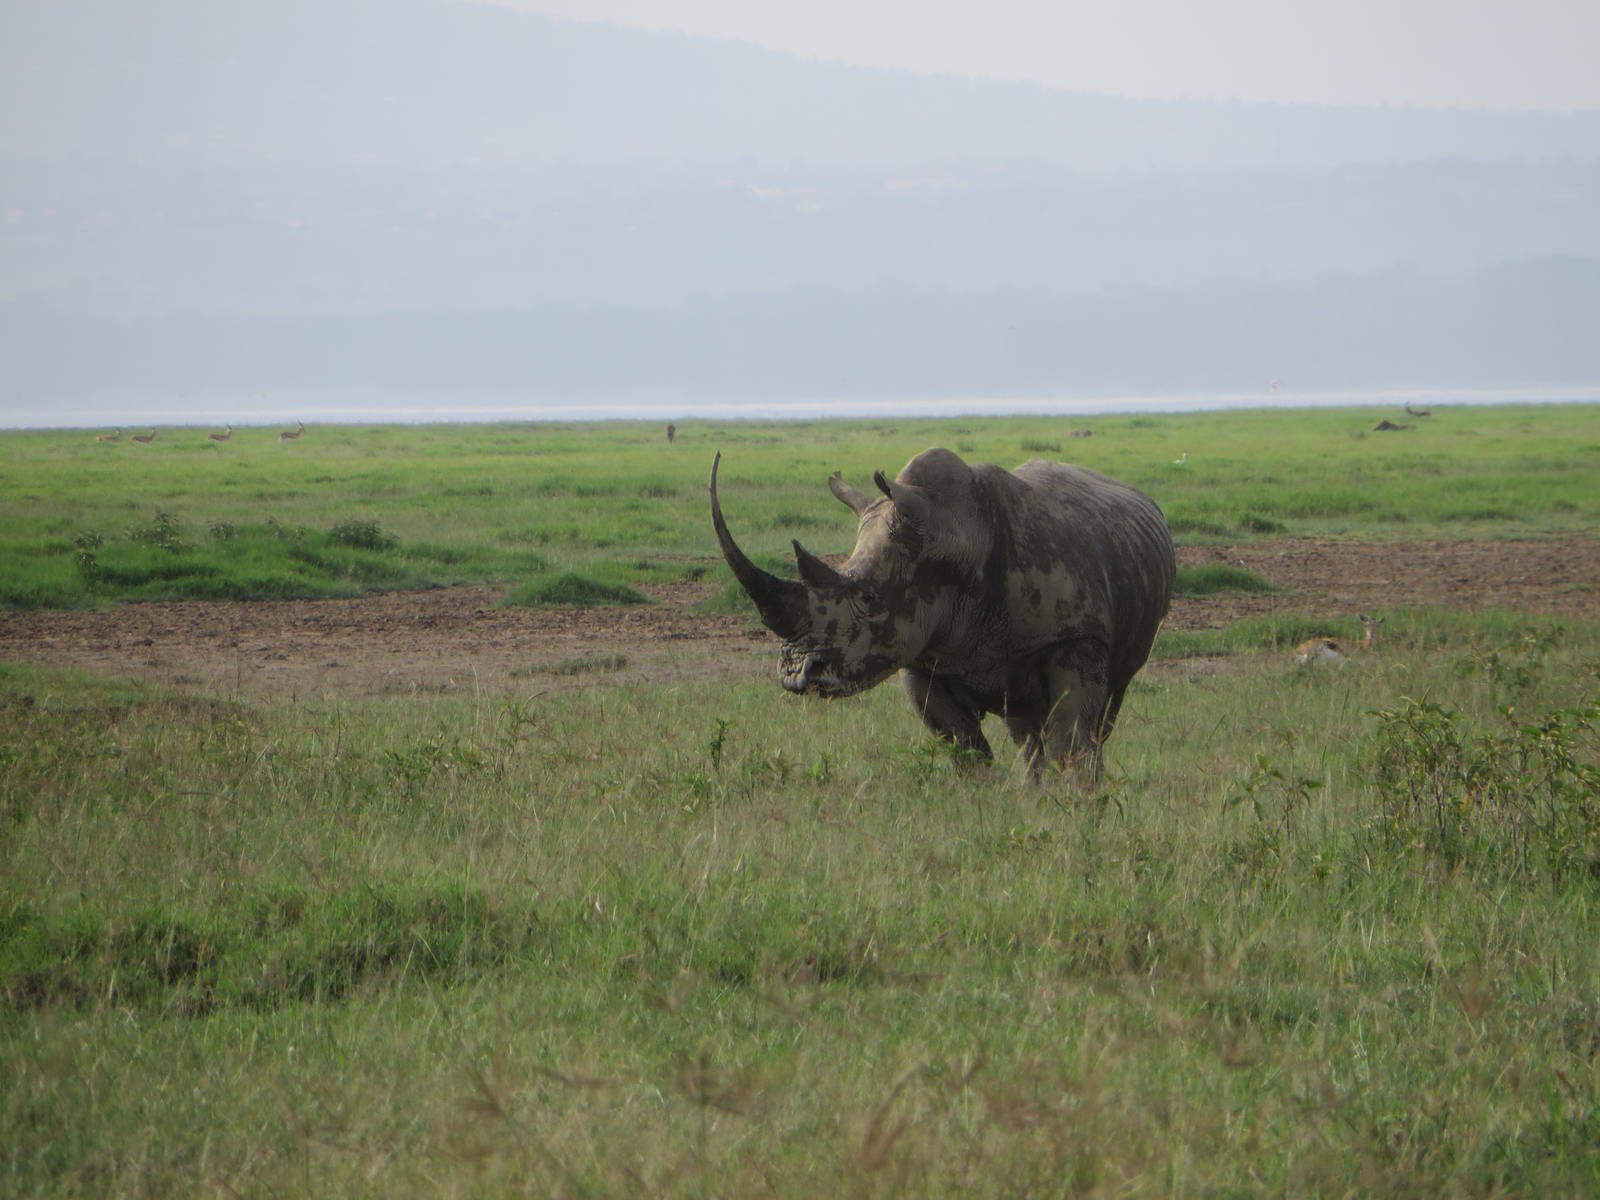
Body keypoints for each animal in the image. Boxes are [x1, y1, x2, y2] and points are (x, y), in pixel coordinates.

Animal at [709, 448, 1175, 779]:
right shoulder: (923, 658)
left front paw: (1075, 806)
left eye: (871, 599)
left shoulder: (1074, 637)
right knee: (1025, 727)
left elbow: (1071, 737)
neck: (951, 535)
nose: (795, 674)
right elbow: (966, 751)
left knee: (1100, 716)